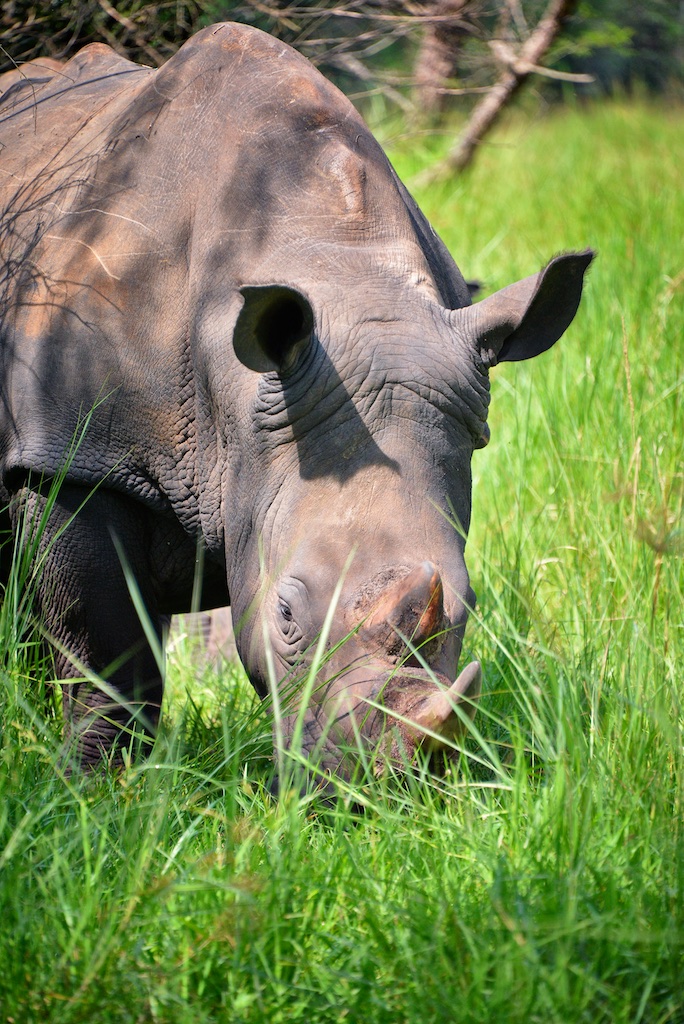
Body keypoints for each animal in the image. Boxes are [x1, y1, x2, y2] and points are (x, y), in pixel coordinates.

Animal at [0, 23, 592, 780]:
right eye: (285, 616)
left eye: (466, 607)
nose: (374, 791)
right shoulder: (73, 453)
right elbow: (106, 658)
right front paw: (97, 788)